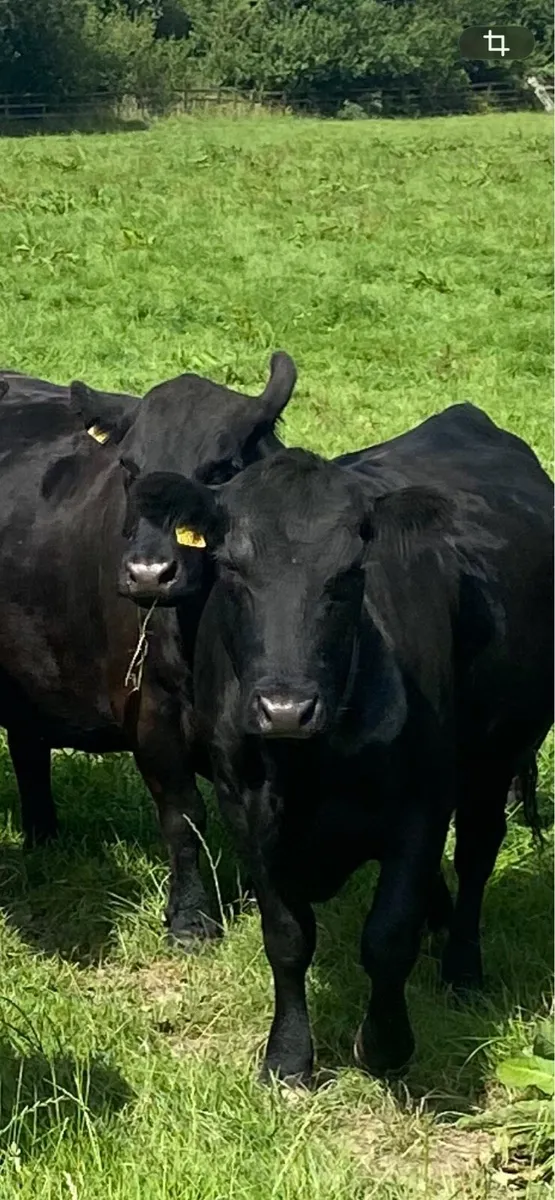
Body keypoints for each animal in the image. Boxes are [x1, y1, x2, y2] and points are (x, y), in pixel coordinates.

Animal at [0, 352, 297, 946]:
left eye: (220, 469)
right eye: (129, 468)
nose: (148, 573)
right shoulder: (151, 713)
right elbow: (182, 816)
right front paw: (191, 920)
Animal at [131, 401, 553, 1082]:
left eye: (350, 574)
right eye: (231, 568)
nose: (285, 708)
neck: (307, 767)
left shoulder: (422, 806)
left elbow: (388, 936)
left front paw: (385, 1044)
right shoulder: (244, 808)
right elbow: (286, 936)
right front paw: (287, 1056)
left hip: (497, 758)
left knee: (477, 856)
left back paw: (462, 966)